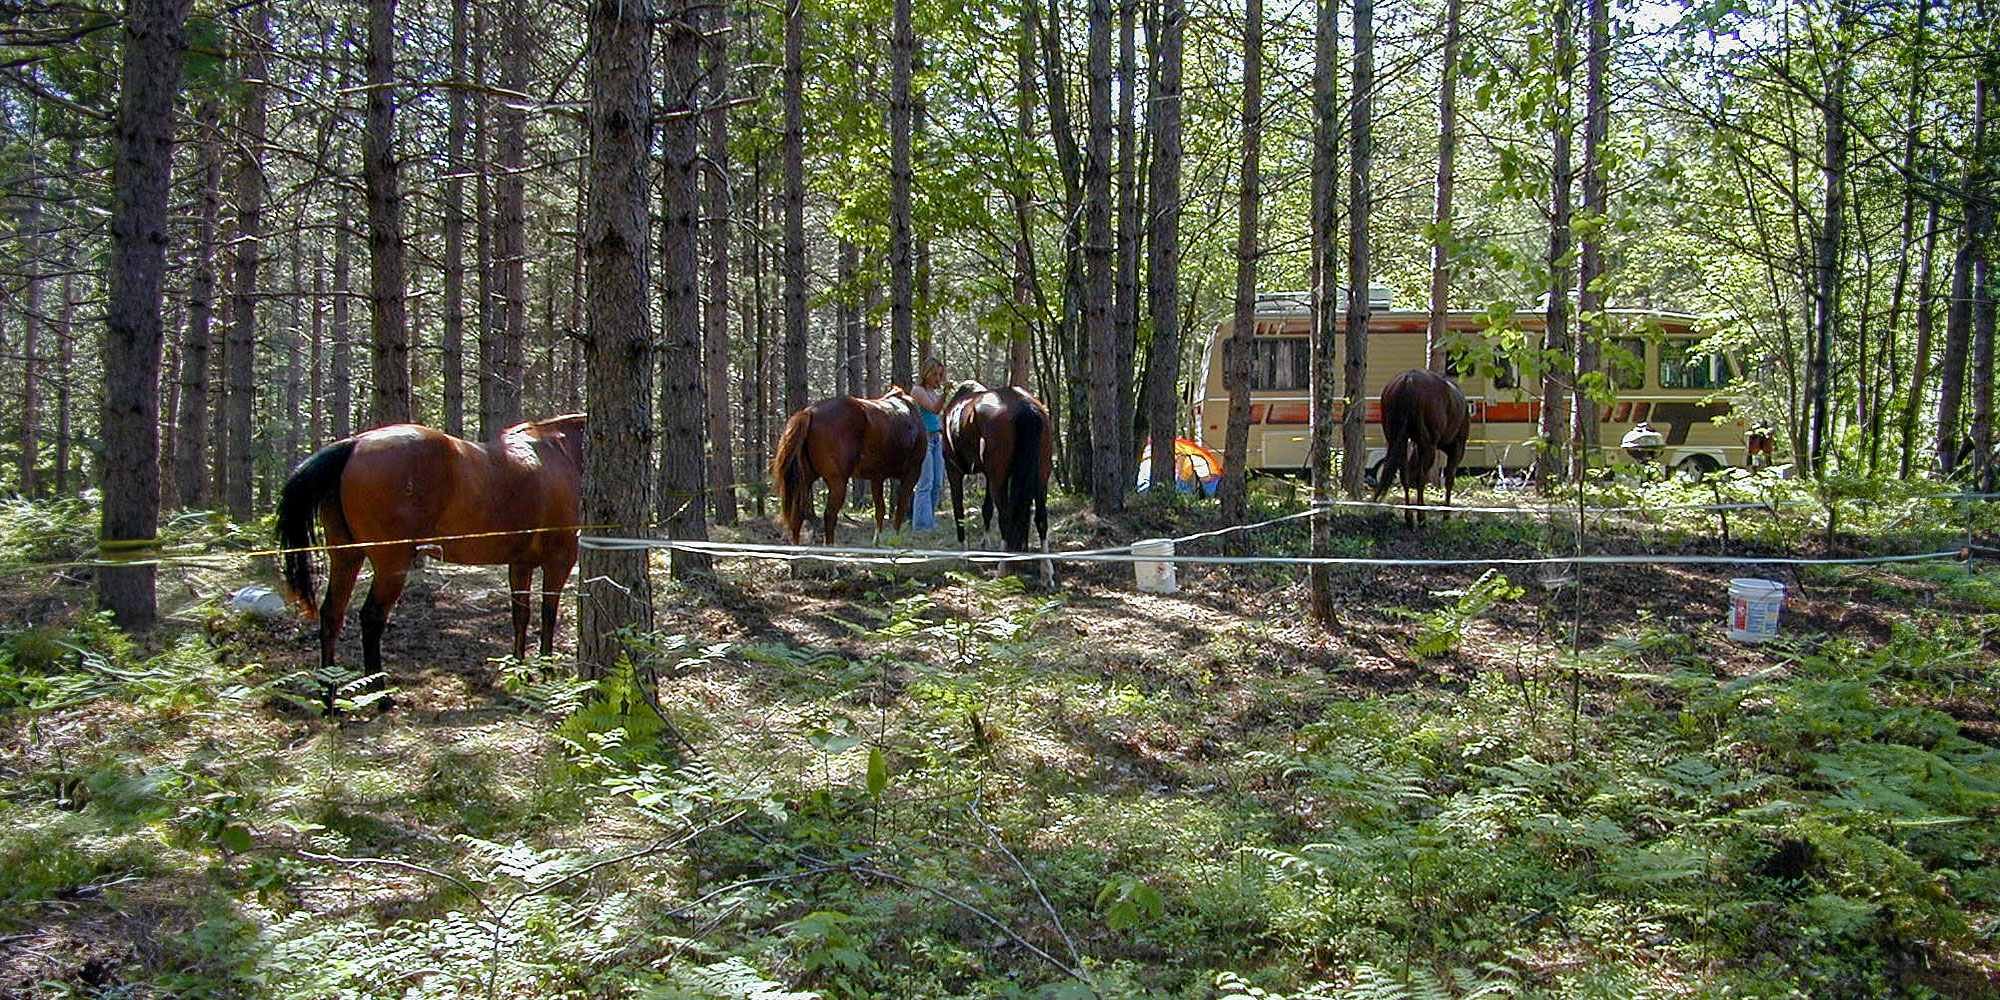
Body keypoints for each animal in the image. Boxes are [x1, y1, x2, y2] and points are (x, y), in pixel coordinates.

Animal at [276, 410, 584, 676]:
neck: (558, 452)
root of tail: (355, 444)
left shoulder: (520, 563)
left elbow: (521, 615)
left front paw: (520, 671)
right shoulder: (559, 560)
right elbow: (548, 615)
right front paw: (546, 671)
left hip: (346, 558)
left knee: (332, 615)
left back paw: (328, 695)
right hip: (391, 565)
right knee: (371, 618)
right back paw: (382, 696)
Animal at [772, 392, 928, 548]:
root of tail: (810, 412)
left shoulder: (877, 477)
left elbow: (880, 510)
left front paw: (877, 541)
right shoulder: (912, 474)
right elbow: (900, 508)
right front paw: (895, 540)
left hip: (805, 481)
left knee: (798, 515)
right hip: (838, 482)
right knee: (829, 515)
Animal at [940, 382, 1056, 556]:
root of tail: (1025, 405)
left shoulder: (953, 470)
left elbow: (959, 511)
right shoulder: (988, 475)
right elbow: (986, 508)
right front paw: (985, 545)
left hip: (998, 479)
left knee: (1007, 519)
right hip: (1041, 475)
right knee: (1041, 518)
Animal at [1376, 366, 1472, 524]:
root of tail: (1408, 380)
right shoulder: (1458, 445)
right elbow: (1449, 478)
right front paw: (1446, 515)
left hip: (1398, 440)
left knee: (1404, 475)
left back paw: (1409, 517)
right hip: (1428, 444)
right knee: (1420, 477)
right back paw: (1422, 517)